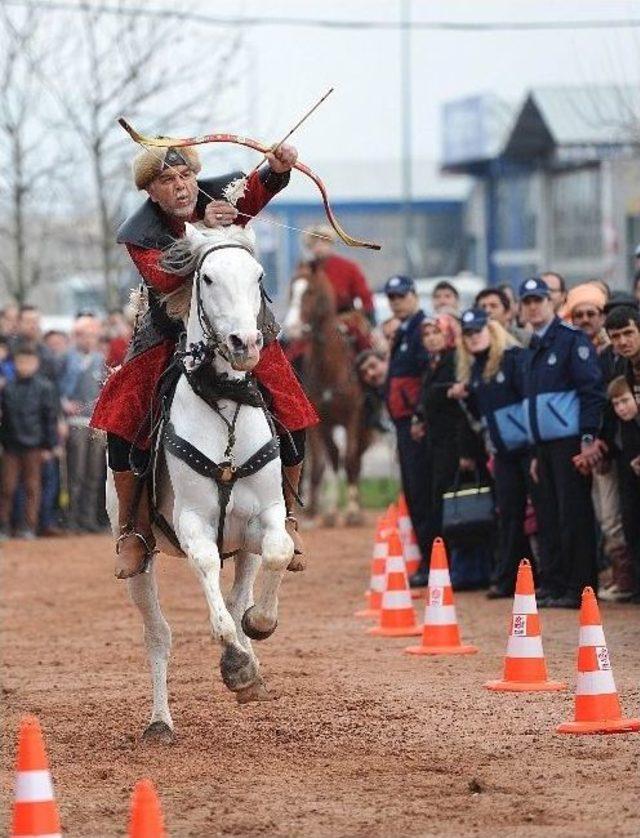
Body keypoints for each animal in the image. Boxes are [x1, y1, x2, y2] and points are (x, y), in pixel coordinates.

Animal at [105, 221, 296, 740]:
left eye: (258, 275)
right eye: (207, 278)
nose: (245, 343)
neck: (224, 401)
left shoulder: (265, 516)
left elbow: (279, 551)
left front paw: (259, 630)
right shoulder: (192, 523)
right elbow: (208, 573)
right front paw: (236, 666)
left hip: (244, 547)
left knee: (239, 591)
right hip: (140, 560)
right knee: (158, 634)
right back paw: (160, 721)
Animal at [282, 260, 372, 524]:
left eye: (310, 291)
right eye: (292, 291)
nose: (292, 328)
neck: (332, 368)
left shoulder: (353, 416)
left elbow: (349, 459)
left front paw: (352, 512)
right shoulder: (321, 422)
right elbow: (326, 462)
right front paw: (328, 512)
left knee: (354, 459)